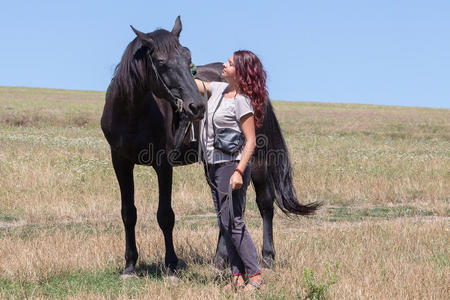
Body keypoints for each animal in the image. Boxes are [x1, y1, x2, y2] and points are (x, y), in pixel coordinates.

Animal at [102, 18, 320, 276]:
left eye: (188, 58)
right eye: (161, 63)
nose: (197, 106)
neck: (133, 113)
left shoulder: (163, 165)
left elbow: (165, 215)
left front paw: (171, 265)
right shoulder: (120, 162)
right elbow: (128, 212)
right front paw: (130, 265)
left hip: (256, 161)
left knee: (265, 204)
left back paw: (266, 256)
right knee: (226, 206)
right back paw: (221, 259)